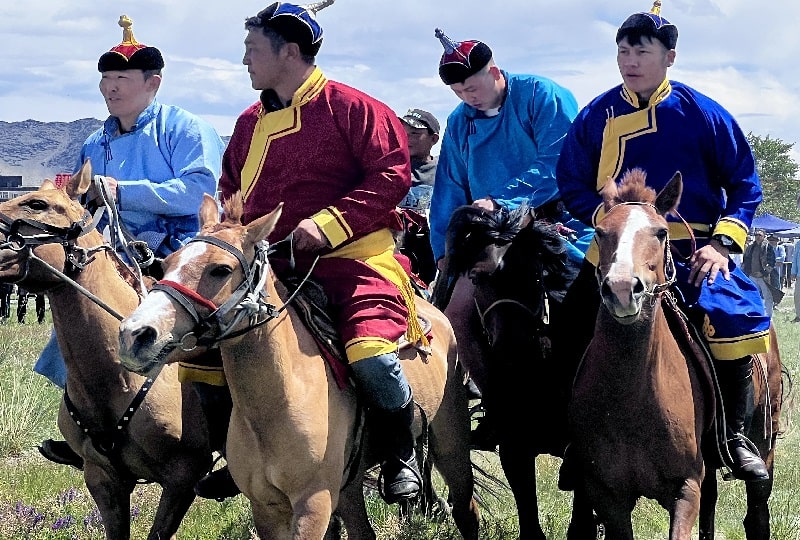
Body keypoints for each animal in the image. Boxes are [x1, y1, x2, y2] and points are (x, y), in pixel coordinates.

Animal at [115, 194, 478, 540]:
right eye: (167, 264)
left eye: (220, 270)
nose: (135, 334)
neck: (279, 400)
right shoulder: (268, 507)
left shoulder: (312, 503)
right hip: (348, 486)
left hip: (451, 441)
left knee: (465, 509)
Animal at [572, 170, 784, 540]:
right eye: (600, 232)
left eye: (660, 232)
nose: (622, 289)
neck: (632, 397)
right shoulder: (609, 496)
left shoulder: (685, 489)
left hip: (765, 446)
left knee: (756, 511)